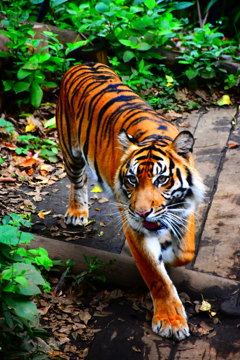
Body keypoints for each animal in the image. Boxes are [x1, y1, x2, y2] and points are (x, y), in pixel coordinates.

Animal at [56, 62, 204, 340]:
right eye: (132, 180)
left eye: (161, 179)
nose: (143, 212)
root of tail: (83, 63)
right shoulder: (135, 227)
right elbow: (156, 276)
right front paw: (170, 322)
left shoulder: (184, 208)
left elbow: (185, 252)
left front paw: (169, 254)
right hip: (71, 152)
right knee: (78, 180)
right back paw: (77, 212)